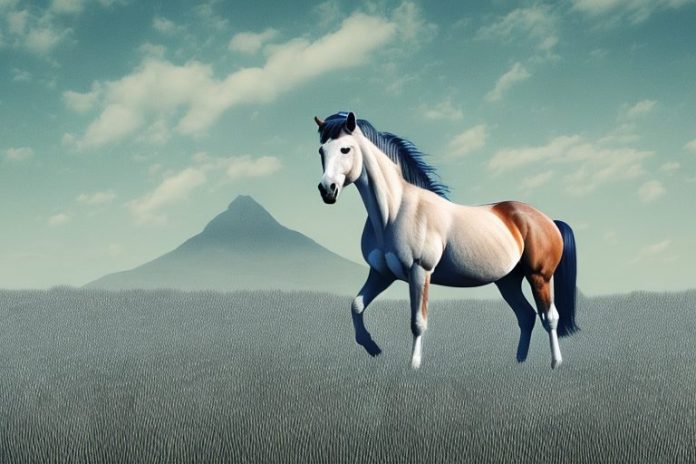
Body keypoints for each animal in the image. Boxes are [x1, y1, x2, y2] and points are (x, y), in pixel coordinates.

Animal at [314, 111, 578, 369]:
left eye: (345, 149)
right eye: (321, 150)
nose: (327, 190)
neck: (395, 211)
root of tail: (548, 221)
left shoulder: (420, 271)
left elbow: (418, 322)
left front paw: (414, 366)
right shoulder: (381, 273)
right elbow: (356, 306)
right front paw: (372, 347)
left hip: (539, 277)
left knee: (550, 318)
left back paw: (555, 364)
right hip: (508, 281)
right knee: (526, 316)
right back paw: (519, 362)